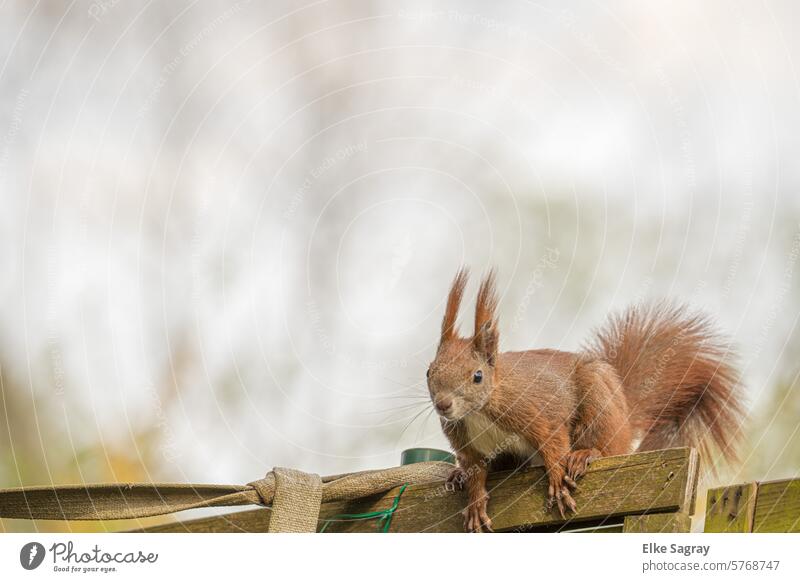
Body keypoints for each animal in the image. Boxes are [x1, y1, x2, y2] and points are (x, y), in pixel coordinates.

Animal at [428, 270, 748, 532]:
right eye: (429, 371)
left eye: (477, 376)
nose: (443, 405)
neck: (478, 412)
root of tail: (625, 420)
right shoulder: (467, 446)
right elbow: (475, 471)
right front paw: (474, 502)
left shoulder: (536, 413)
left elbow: (554, 444)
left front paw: (558, 479)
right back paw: (456, 476)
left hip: (599, 404)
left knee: (607, 448)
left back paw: (586, 454)